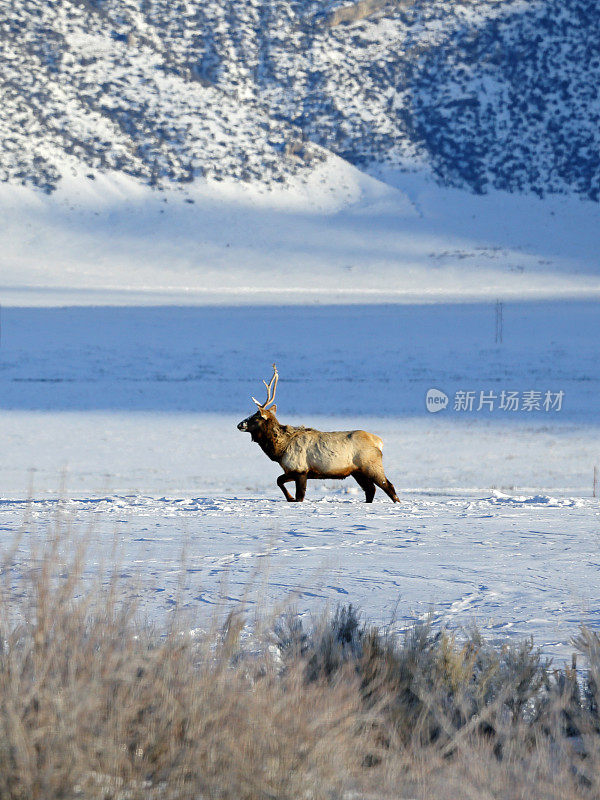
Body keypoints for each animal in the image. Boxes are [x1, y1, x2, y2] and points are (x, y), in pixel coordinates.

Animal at [238, 366, 398, 504]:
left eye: (255, 417)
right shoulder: (293, 471)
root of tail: (379, 442)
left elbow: (299, 495)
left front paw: (291, 498)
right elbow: (279, 480)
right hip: (357, 472)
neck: (279, 450)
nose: (240, 424)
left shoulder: (300, 470)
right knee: (370, 490)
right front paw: (289, 498)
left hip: (371, 465)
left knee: (388, 486)